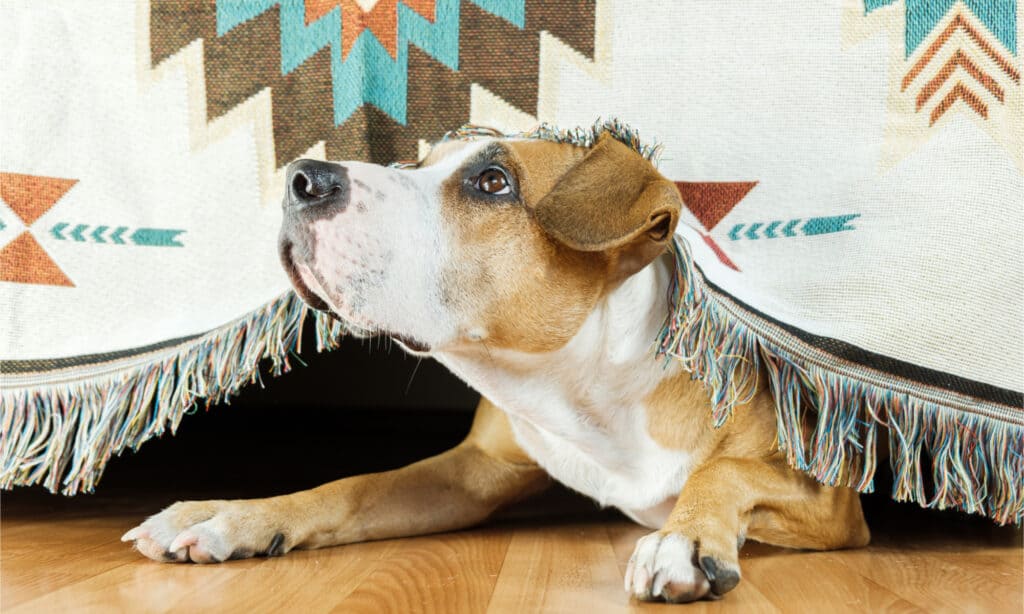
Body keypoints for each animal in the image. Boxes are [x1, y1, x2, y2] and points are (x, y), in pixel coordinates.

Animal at [121, 129, 872, 605]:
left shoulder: (827, 498)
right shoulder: (473, 470)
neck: (584, 389)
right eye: (415, 163)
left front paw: (682, 541)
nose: (302, 176)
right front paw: (233, 515)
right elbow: (352, 487)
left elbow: (724, 470)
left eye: (493, 181)